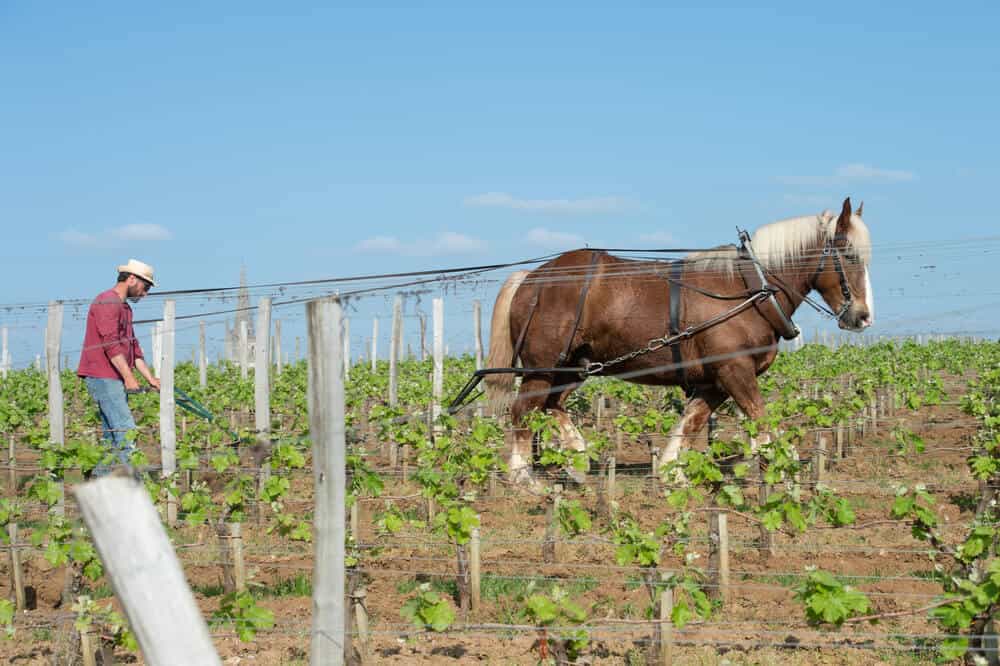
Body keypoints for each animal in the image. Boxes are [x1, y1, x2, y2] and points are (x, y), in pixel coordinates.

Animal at [484, 197, 873, 488]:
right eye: (849, 255)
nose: (863, 316)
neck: (749, 290)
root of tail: (530, 278)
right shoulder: (735, 370)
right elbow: (760, 419)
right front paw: (782, 465)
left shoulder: (715, 380)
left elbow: (691, 421)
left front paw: (673, 473)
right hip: (543, 367)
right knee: (522, 410)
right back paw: (524, 478)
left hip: (574, 366)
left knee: (552, 405)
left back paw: (577, 461)